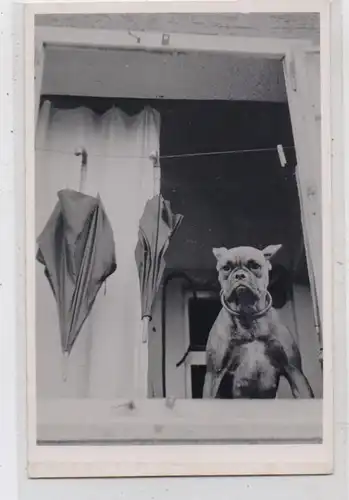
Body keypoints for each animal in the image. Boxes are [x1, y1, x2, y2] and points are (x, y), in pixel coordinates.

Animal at [201, 245, 312, 398]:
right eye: (226, 268)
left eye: (254, 265)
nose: (239, 275)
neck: (248, 315)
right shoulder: (214, 375)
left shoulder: (294, 371)